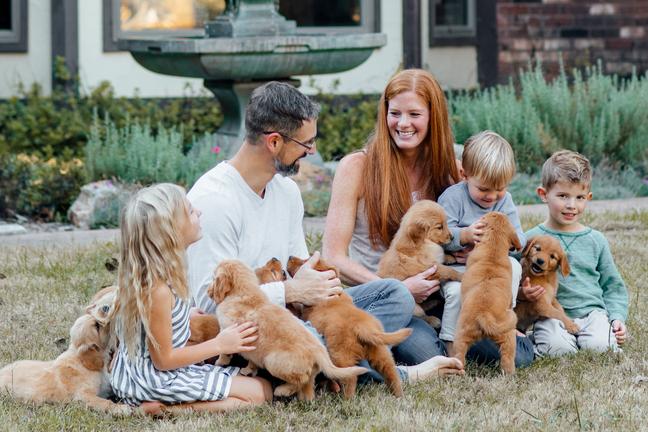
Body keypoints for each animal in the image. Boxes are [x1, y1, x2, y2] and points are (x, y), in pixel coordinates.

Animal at [207, 259, 367, 400]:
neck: (244, 292)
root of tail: (319, 351)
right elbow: (252, 360)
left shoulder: (228, 331)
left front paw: (220, 362)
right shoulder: (253, 351)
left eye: (213, 277)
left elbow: (224, 350)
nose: (208, 291)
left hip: (272, 361)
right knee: (308, 385)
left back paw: (282, 391)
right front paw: (248, 370)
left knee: (300, 380)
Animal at [287, 255, 412, 398]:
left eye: (304, 262)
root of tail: (363, 327)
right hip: (381, 352)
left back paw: (346, 400)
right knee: (391, 373)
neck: (333, 296)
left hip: (341, 355)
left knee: (349, 378)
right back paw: (399, 396)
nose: (290, 257)